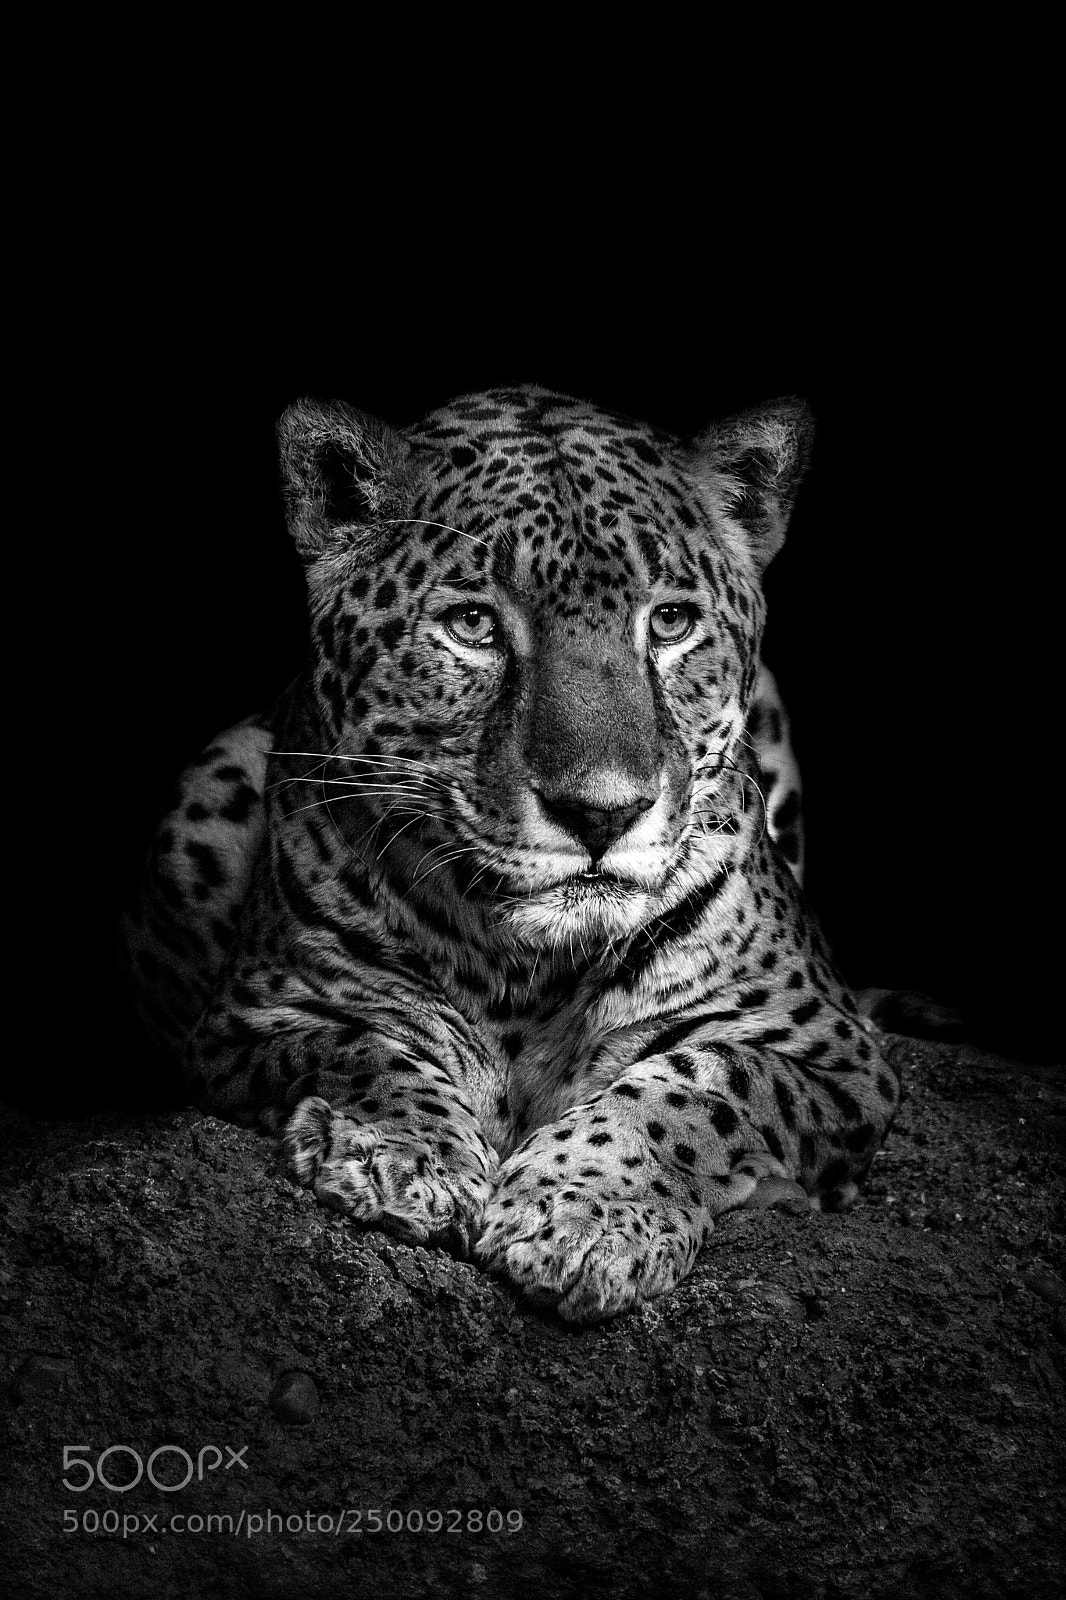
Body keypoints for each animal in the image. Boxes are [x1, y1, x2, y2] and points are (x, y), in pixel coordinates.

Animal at [120, 386, 900, 1324]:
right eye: (474, 625)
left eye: (671, 622)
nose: (603, 813)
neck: (532, 972)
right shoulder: (254, 1018)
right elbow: (362, 1046)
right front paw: (402, 1155)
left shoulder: (834, 1053)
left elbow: (703, 1085)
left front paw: (585, 1215)